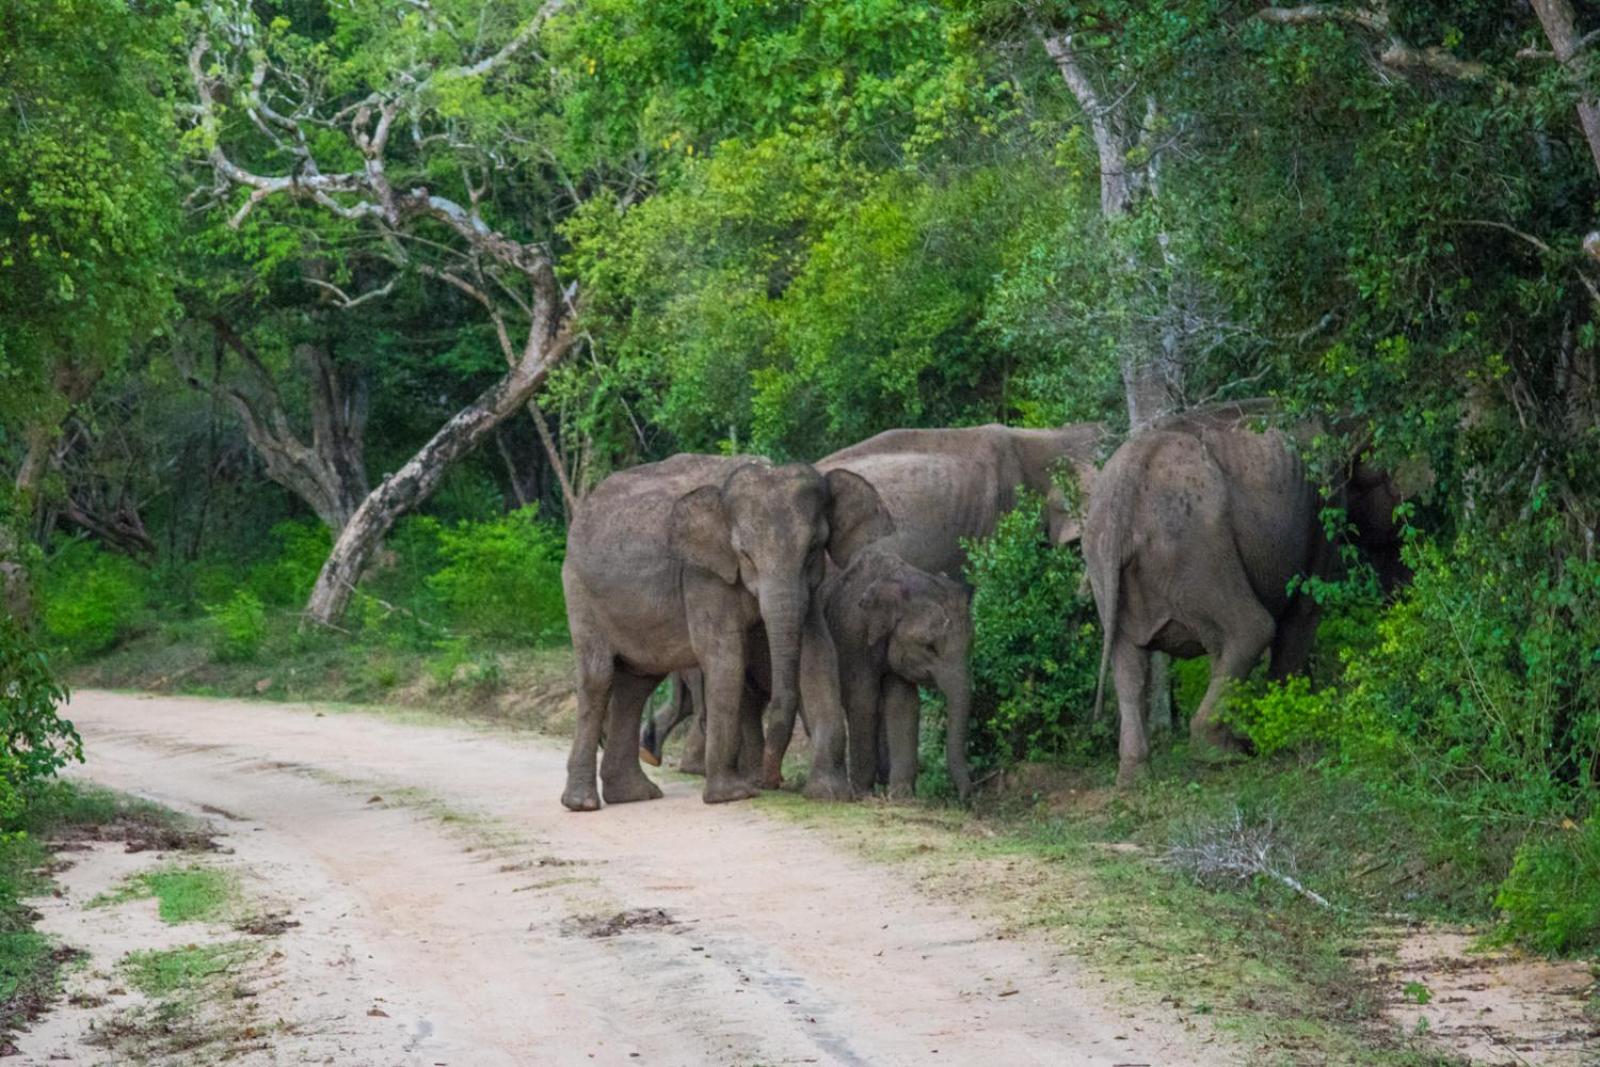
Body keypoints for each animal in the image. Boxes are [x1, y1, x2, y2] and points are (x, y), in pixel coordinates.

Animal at [560, 454, 889, 812]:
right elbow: (725, 658)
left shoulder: (809, 589)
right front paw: (732, 796)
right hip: (579, 591)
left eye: (814, 549)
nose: (770, 781)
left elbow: (818, 657)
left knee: (637, 684)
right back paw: (583, 803)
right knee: (599, 678)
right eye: (745, 554)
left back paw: (634, 795)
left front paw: (831, 795)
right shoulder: (702, 575)